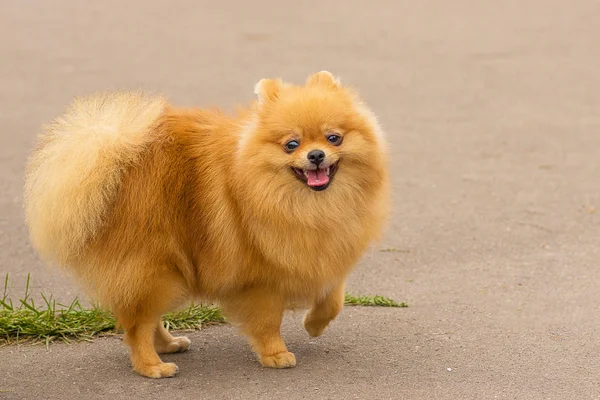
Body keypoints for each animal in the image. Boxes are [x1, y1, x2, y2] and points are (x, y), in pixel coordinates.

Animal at [23, 71, 390, 378]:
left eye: (334, 138)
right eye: (292, 144)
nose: (316, 155)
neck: (308, 206)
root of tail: (110, 155)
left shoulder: (323, 252)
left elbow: (334, 298)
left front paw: (314, 325)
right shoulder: (260, 280)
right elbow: (268, 321)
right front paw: (275, 354)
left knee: (145, 318)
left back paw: (168, 345)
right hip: (155, 268)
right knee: (137, 324)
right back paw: (152, 366)